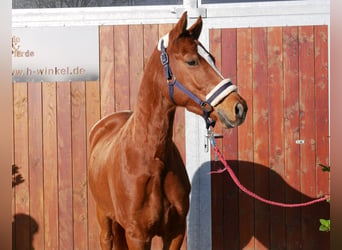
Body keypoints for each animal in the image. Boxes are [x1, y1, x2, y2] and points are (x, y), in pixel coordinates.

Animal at [89, 12, 246, 250]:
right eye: (191, 61)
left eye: (213, 59)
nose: (239, 107)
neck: (151, 159)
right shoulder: (138, 236)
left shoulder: (175, 232)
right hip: (105, 220)